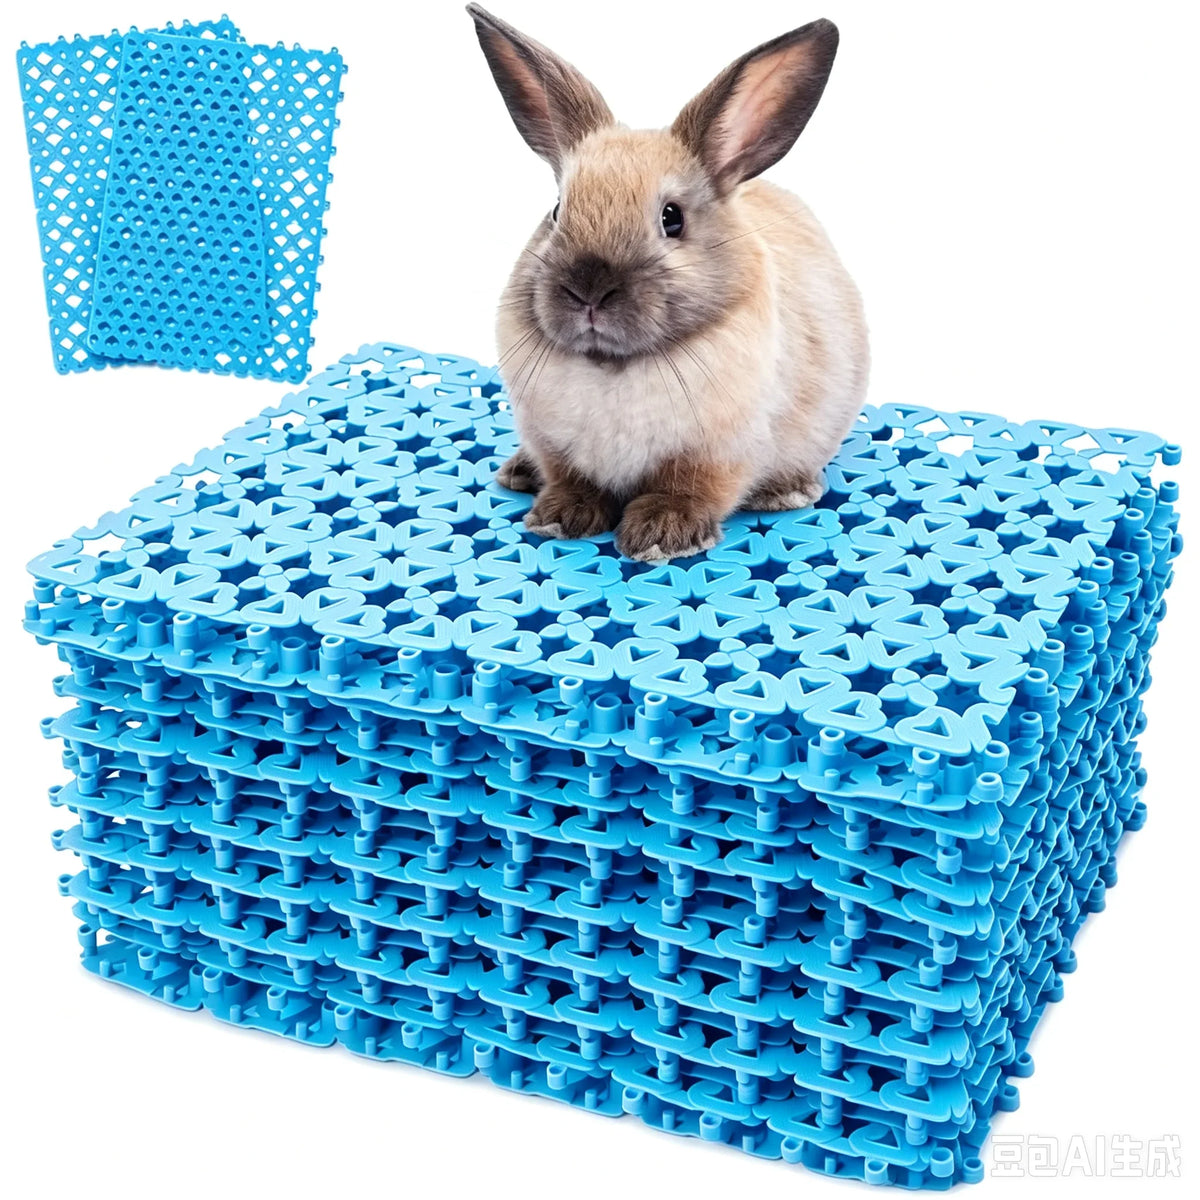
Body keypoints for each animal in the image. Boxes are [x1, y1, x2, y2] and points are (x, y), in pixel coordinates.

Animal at [467, 4, 869, 561]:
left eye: (671, 218)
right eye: (557, 210)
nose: (588, 290)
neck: (613, 367)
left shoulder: (716, 455)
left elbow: (687, 490)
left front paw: (661, 535)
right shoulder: (554, 445)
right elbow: (571, 480)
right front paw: (560, 517)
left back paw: (788, 491)